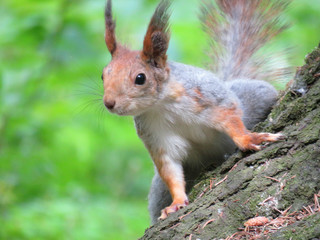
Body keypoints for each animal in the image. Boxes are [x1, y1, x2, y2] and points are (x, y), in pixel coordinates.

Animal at [101, 0, 288, 225]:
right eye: (103, 75)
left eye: (140, 78)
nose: (109, 103)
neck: (161, 105)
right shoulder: (156, 135)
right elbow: (169, 169)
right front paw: (176, 202)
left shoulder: (208, 99)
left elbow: (231, 118)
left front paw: (248, 139)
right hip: (162, 188)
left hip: (253, 97)